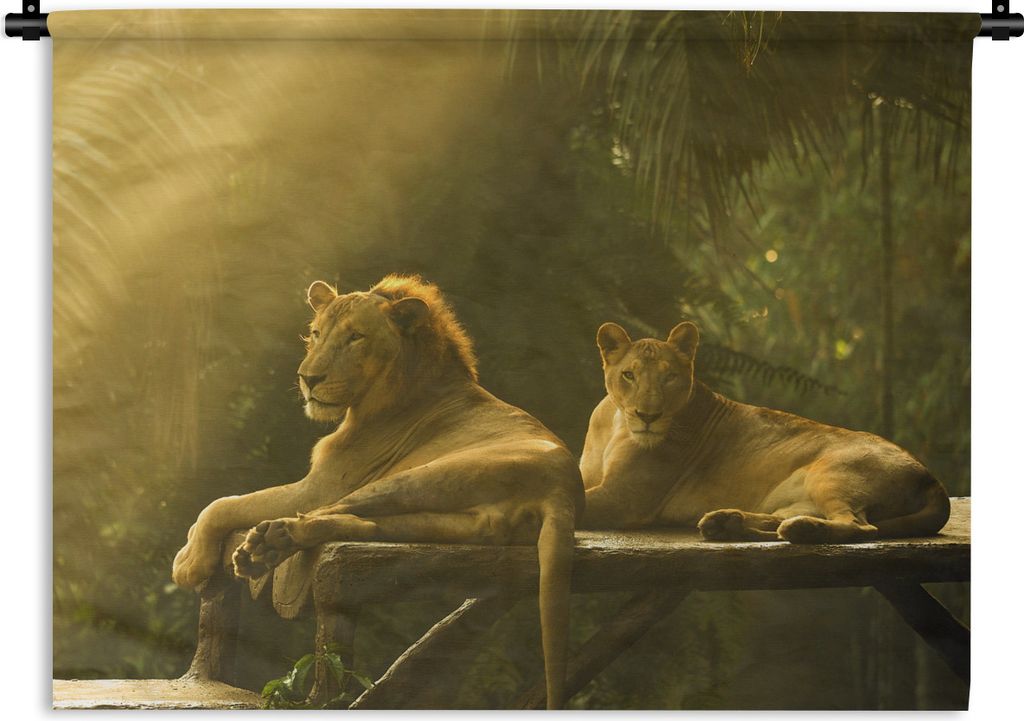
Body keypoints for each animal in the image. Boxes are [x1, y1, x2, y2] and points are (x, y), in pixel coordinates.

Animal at [171, 275, 583, 709]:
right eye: (316, 334)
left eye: (355, 337)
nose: (308, 379)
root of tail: (563, 492)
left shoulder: (316, 487)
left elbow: (222, 504)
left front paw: (189, 563)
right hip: (449, 520)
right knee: (363, 524)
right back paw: (273, 544)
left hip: (415, 476)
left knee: (329, 513)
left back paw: (266, 544)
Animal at [579, 321, 950, 543]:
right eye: (629, 375)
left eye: (669, 377)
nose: (648, 415)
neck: (615, 424)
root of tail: (931, 477)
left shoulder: (624, 497)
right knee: (781, 521)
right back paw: (725, 523)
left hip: (829, 473)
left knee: (860, 526)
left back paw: (800, 530)